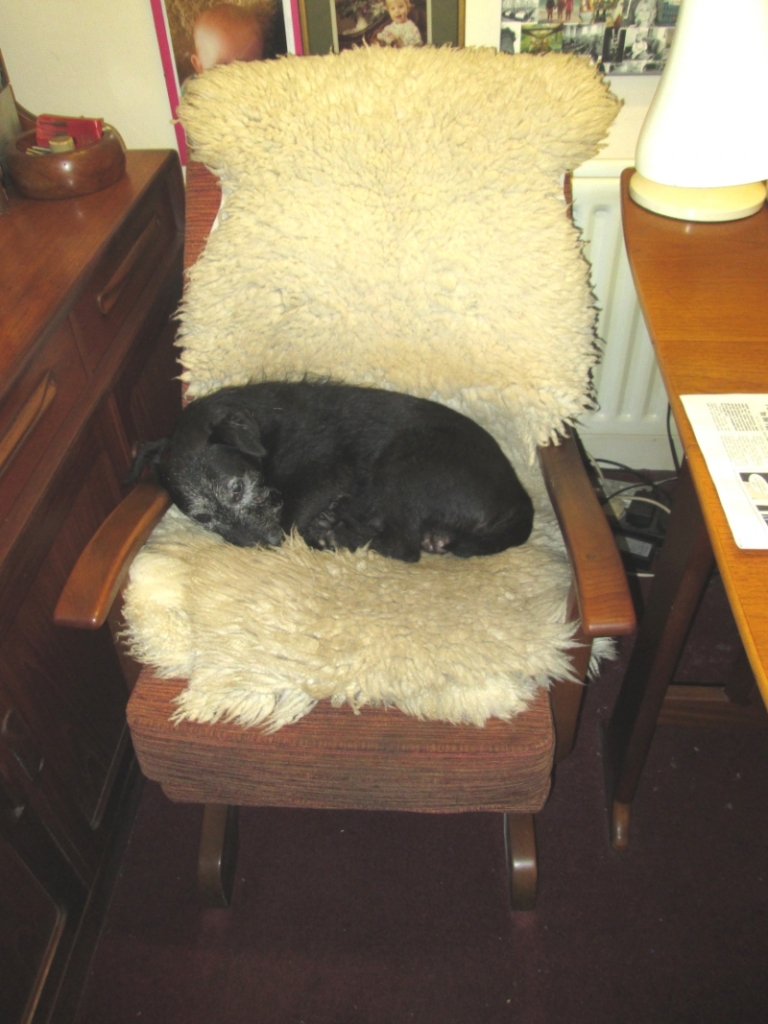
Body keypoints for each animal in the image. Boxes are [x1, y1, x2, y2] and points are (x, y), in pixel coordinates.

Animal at [129, 381, 534, 562]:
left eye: (236, 489)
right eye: (202, 517)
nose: (263, 545)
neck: (265, 434)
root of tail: (520, 499)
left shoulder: (326, 475)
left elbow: (292, 517)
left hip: (404, 466)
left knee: (403, 547)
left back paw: (334, 536)